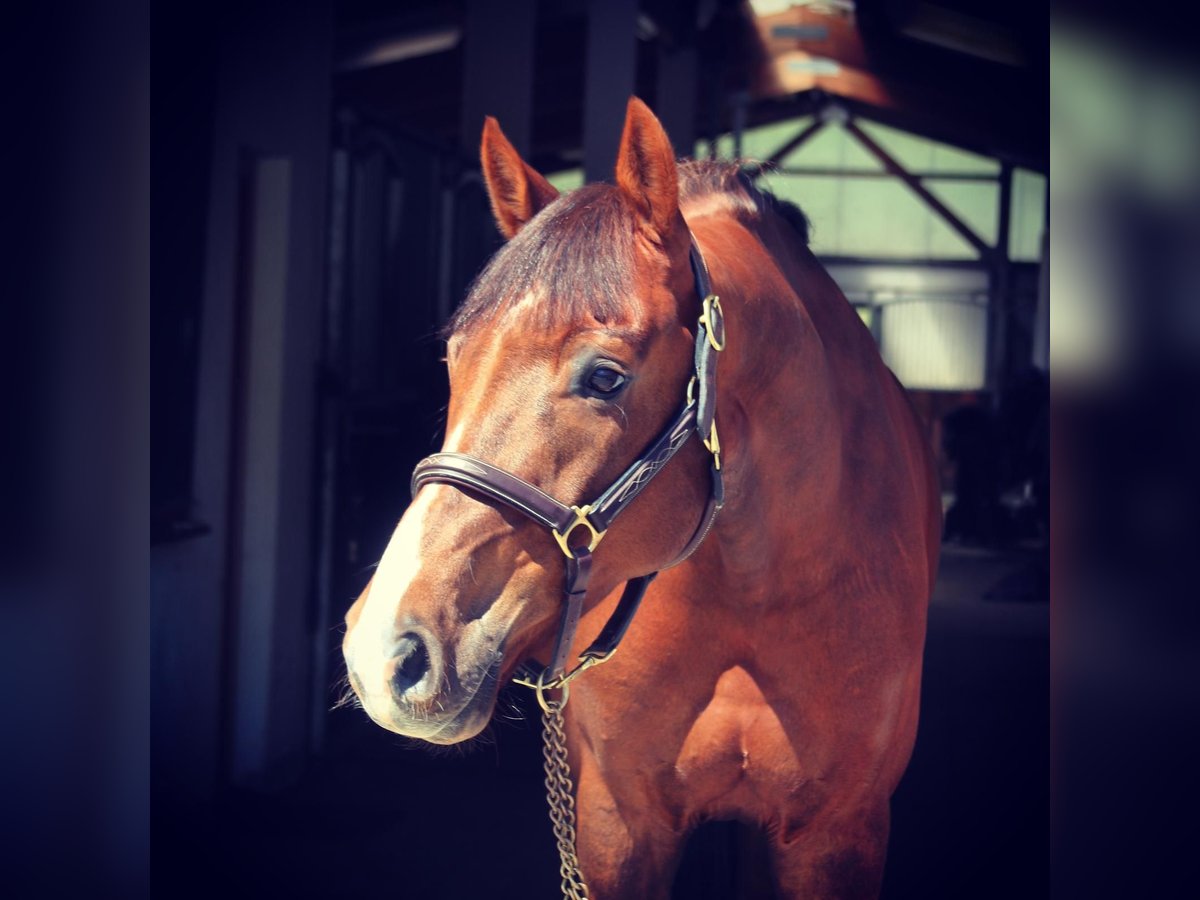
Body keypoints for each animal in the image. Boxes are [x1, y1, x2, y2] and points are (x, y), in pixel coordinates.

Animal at [343, 98, 940, 900]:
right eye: (454, 358)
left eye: (605, 377)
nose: (383, 653)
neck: (755, 590)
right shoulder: (618, 823)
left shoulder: (837, 835)